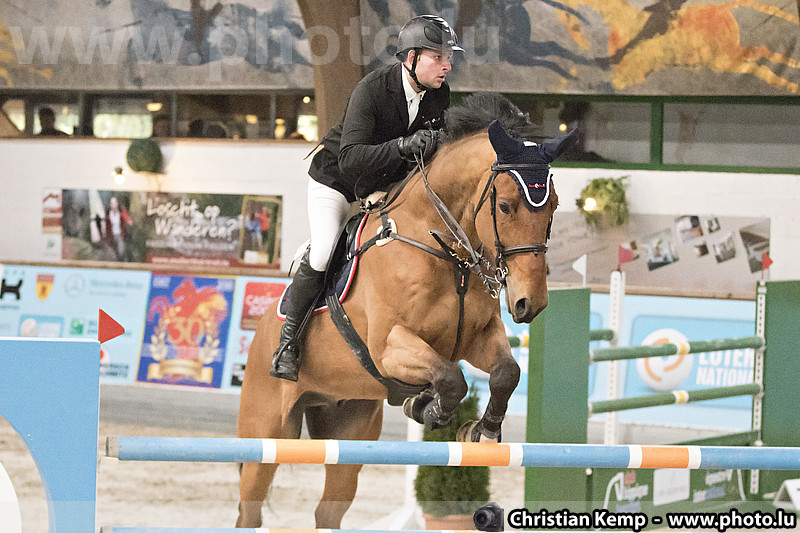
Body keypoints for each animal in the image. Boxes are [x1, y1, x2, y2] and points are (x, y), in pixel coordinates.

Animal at [236, 94, 577, 528]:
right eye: (504, 206)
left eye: (554, 205)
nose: (529, 303)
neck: (442, 247)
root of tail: (261, 332)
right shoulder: (390, 347)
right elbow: (451, 380)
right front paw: (426, 408)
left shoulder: (477, 338)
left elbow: (505, 374)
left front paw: (479, 432)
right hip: (266, 433)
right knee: (250, 509)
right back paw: (286, 356)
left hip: (350, 426)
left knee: (328, 509)